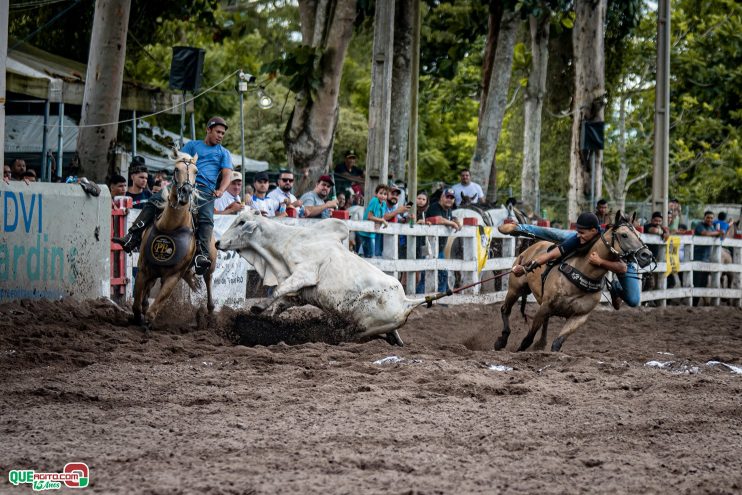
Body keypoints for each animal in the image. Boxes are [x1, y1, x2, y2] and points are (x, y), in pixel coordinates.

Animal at [131, 151, 217, 330]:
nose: (186, 191)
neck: (170, 226)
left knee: (208, 281)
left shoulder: (173, 276)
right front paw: (137, 317)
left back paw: (210, 314)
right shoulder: (143, 269)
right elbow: (136, 302)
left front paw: (147, 321)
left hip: (209, 266)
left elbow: (155, 307)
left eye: (196, 171)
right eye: (176, 169)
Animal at [215, 209, 424, 344]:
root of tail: (406, 302)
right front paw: (270, 319)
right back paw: (395, 339)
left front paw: (258, 307)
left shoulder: (304, 274)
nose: (217, 243)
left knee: (347, 334)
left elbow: (278, 290)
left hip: (362, 326)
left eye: (241, 222)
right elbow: (281, 302)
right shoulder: (301, 293)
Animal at [496, 211, 652, 354]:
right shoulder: (546, 306)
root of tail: (532, 247)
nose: (647, 255)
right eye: (624, 235)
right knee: (505, 310)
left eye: (639, 234)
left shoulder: (579, 316)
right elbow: (528, 338)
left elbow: (557, 343)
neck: (583, 273)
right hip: (515, 289)